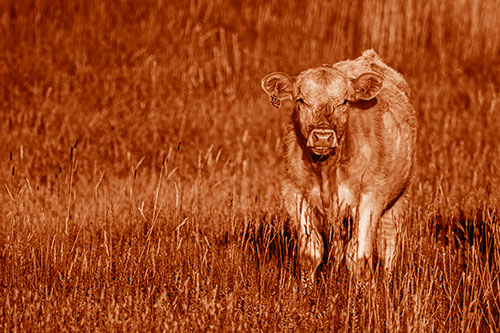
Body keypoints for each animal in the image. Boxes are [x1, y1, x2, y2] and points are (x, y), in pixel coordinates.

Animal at [260, 49, 416, 278]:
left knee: (388, 243)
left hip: (401, 195)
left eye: (344, 101)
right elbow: (310, 253)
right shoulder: (294, 193)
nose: (323, 136)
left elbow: (359, 257)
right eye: (301, 100)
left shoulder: (371, 197)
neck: (327, 170)